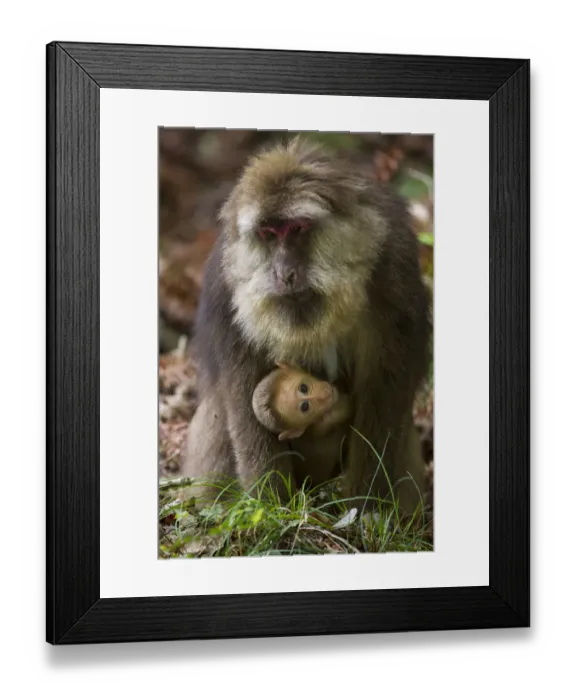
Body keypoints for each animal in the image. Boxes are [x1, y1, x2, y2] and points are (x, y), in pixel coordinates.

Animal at [180, 136, 431, 514]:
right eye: (268, 234)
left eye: (296, 228)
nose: (284, 274)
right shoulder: (226, 289)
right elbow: (242, 396)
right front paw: (272, 509)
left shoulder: (394, 267)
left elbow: (386, 388)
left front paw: (366, 507)